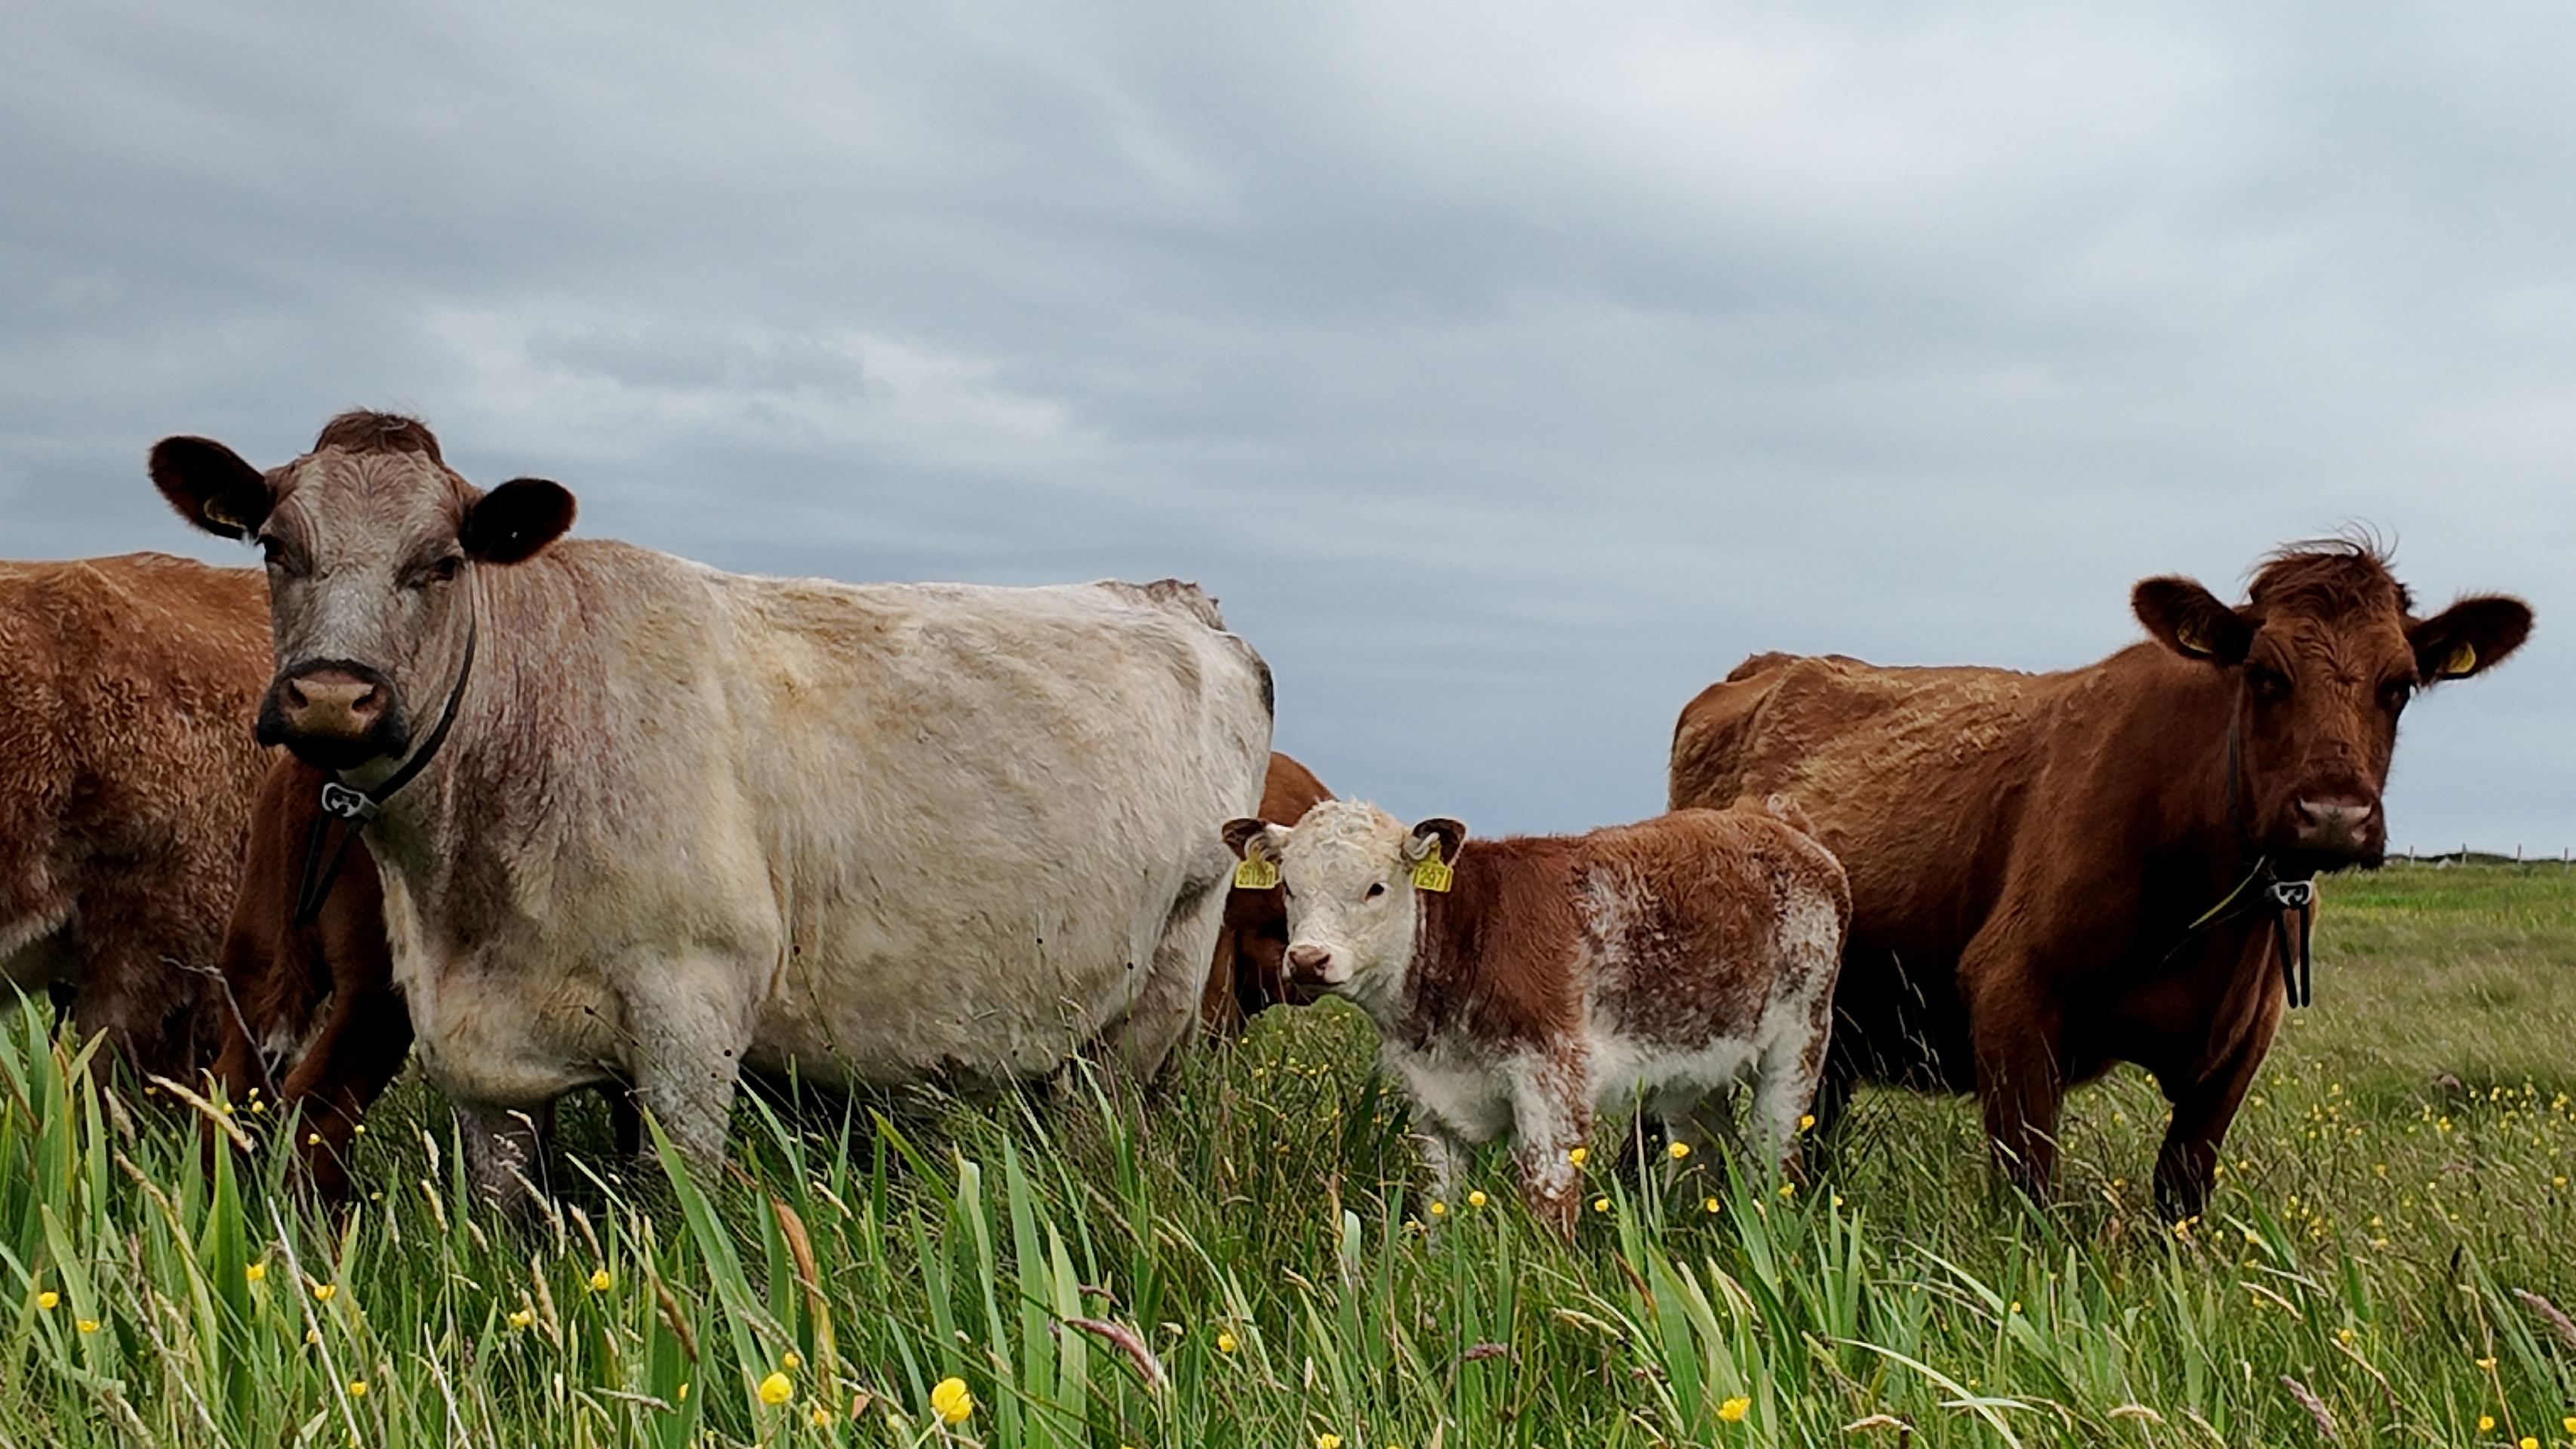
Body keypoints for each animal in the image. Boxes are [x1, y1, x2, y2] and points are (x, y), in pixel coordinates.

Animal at [150, 410, 1273, 1202]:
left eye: (442, 561)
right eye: (274, 548)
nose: (331, 696)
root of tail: (1171, 598)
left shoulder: (693, 1017)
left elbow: (671, 1216)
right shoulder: (477, 1059)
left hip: (1156, 994)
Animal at [1222, 799, 1849, 1234]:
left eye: (1375, 888)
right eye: (1289, 888)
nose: (1307, 959)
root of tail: (1778, 824)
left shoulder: (1554, 1082)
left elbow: (1548, 1201)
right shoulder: (1432, 1103)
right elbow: (1441, 1206)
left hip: (1800, 1044)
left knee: (1774, 1153)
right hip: (1692, 1064)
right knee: (1700, 1148)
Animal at [1667, 540, 2532, 1219]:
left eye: (2399, 685)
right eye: (2262, 674)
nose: (2331, 814)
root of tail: (1765, 664)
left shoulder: (2240, 1045)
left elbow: (2180, 1193)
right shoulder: (2009, 994)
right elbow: (2028, 1193)